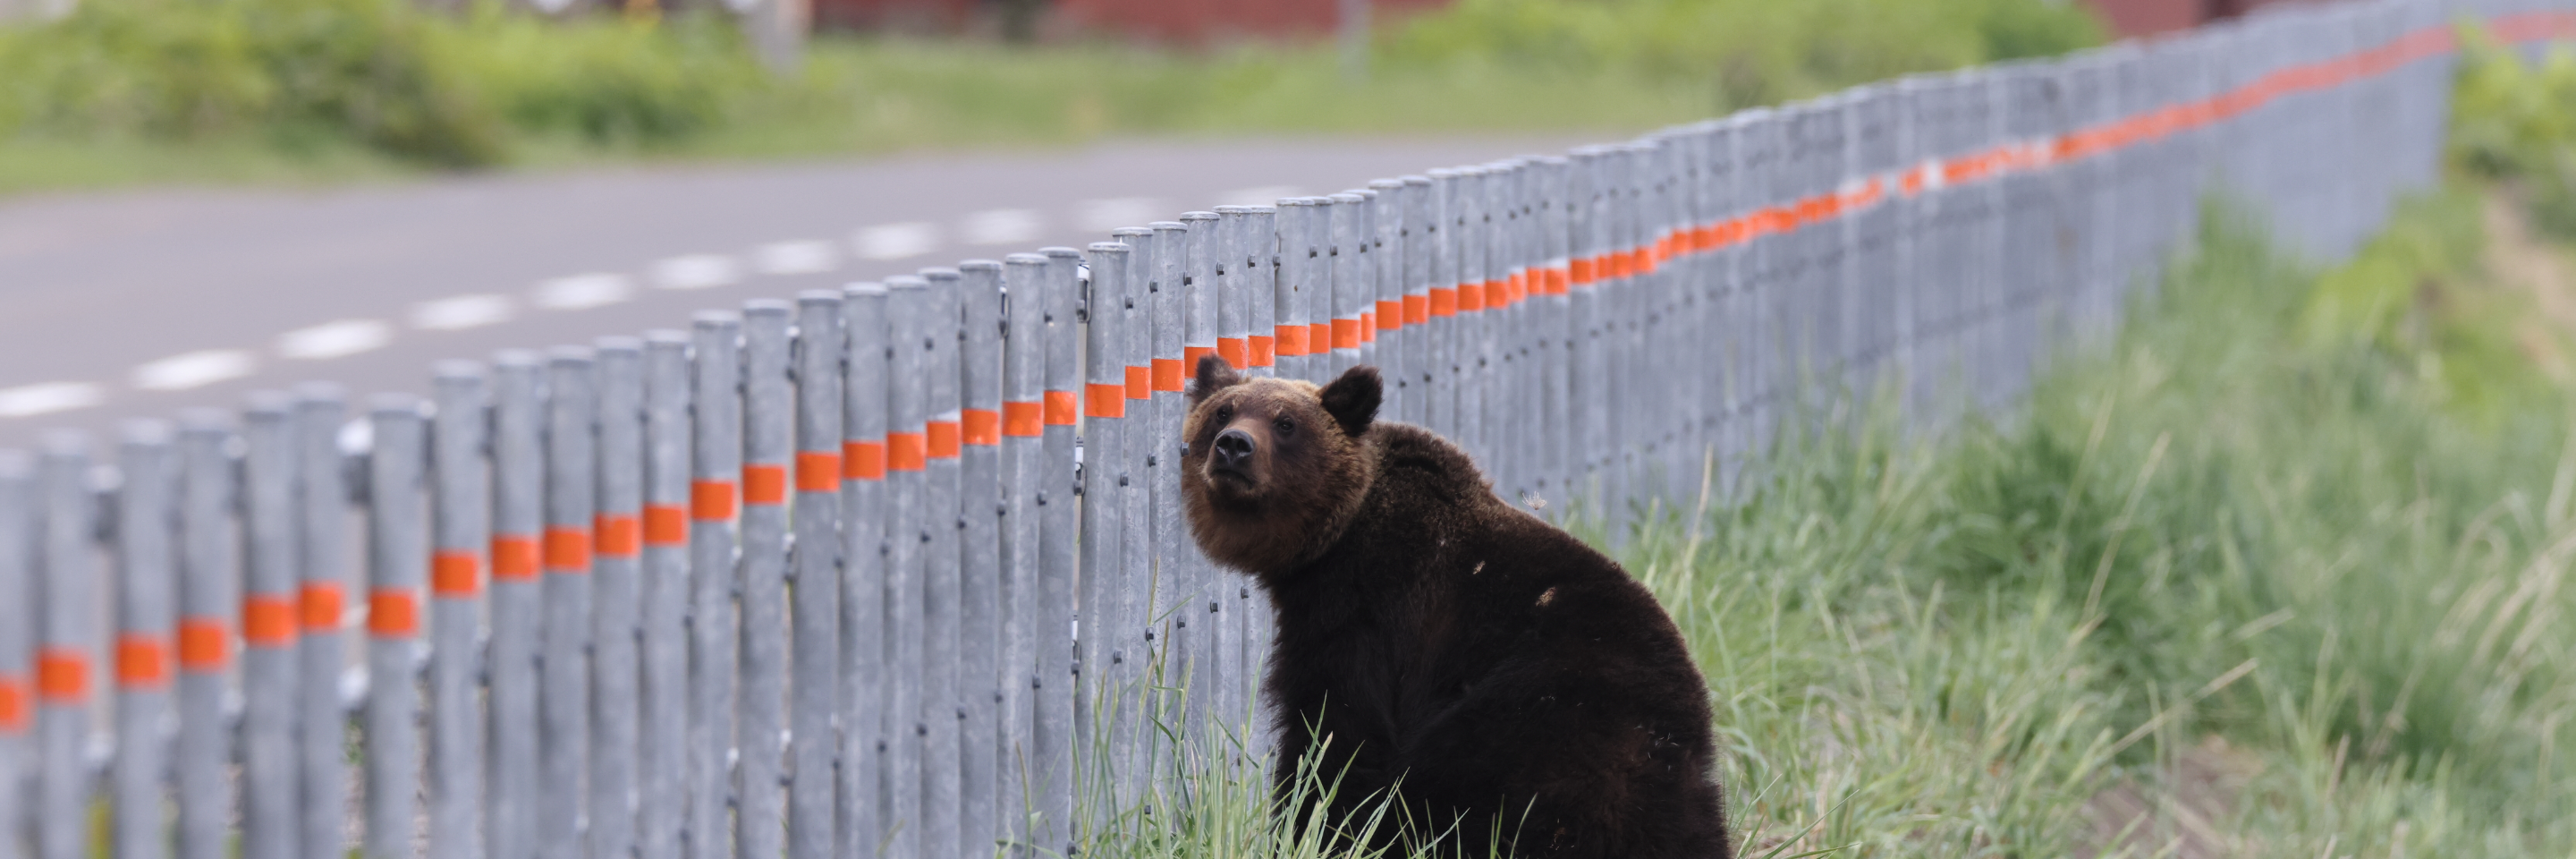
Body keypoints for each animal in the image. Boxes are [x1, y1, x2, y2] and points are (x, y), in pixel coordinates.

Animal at [1180, 356, 1731, 859]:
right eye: (1222, 411)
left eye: (1286, 423)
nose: (1234, 445)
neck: (1329, 546)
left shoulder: (1369, 614)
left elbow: (1334, 733)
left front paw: (1309, 830)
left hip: (1536, 716)